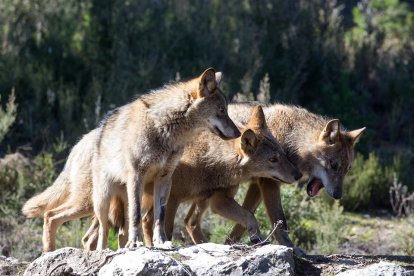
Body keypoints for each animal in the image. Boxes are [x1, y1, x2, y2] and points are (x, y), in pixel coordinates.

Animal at [22, 68, 241, 251]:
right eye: (222, 110)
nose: (239, 133)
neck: (165, 129)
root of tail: (80, 143)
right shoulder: (137, 176)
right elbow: (136, 216)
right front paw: (135, 244)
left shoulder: (164, 180)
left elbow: (159, 217)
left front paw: (161, 242)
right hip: (97, 201)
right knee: (61, 219)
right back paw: (65, 252)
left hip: (115, 201)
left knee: (108, 231)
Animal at [81, 104, 300, 249]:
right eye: (273, 159)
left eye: (282, 154)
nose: (298, 175)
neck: (209, 159)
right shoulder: (174, 200)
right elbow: (168, 230)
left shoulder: (216, 200)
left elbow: (248, 216)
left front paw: (256, 238)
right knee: (97, 234)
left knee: (122, 229)